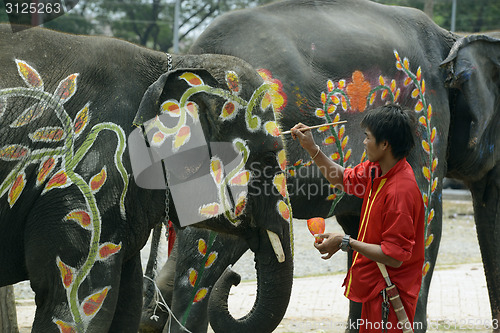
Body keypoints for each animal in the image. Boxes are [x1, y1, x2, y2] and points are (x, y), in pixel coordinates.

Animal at [0, 24, 292, 332]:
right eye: (269, 157)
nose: (234, 277)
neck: (173, 63)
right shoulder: (82, 188)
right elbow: (74, 305)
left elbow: (126, 304)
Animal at [140, 0, 500, 330]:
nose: (237, 278)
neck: (452, 39)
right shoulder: (428, 122)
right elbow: (426, 227)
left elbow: (364, 235)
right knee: (198, 267)